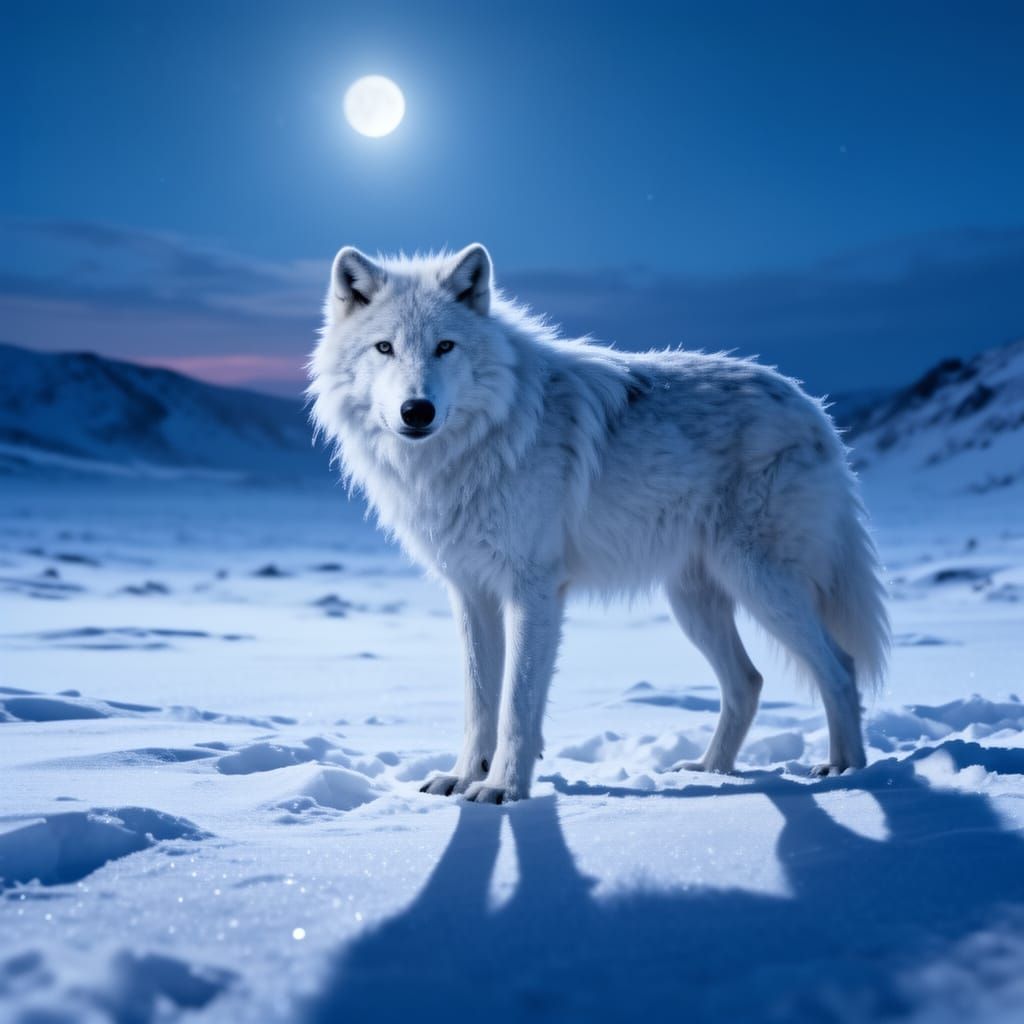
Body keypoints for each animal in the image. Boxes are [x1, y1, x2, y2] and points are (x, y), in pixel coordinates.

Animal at [308, 244, 889, 803]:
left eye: (445, 347)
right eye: (384, 348)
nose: (417, 410)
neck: (478, 447)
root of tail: (815, 409)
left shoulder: (534, 588)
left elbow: (516, 703)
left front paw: (502, 790)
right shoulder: (470, 591)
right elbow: (479, 702)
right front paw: (460, 778)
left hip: (759, 583)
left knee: (840, 667)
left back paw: (847, 772)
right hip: (694, 601)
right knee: (748, 681)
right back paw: (712, 770)